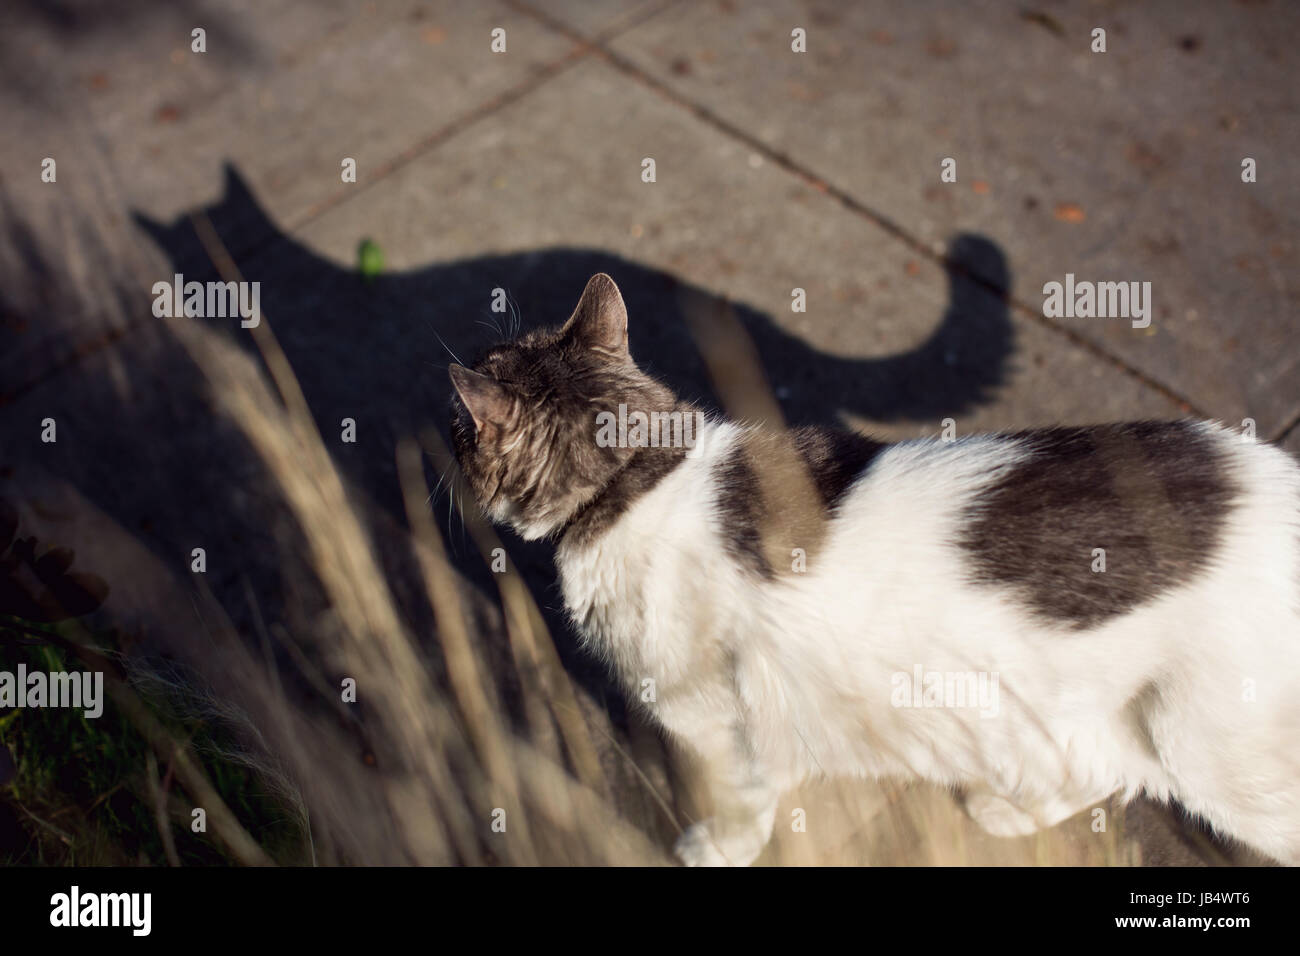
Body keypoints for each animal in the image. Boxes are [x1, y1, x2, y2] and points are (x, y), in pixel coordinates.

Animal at [449, 270, 1300, 868]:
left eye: (461, 427)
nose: (448, 428)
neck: (638, 478)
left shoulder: (728, 731)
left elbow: (744, 805)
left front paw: (717, 848)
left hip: (1217, 757)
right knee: (1101, 767)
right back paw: (1009, 811)